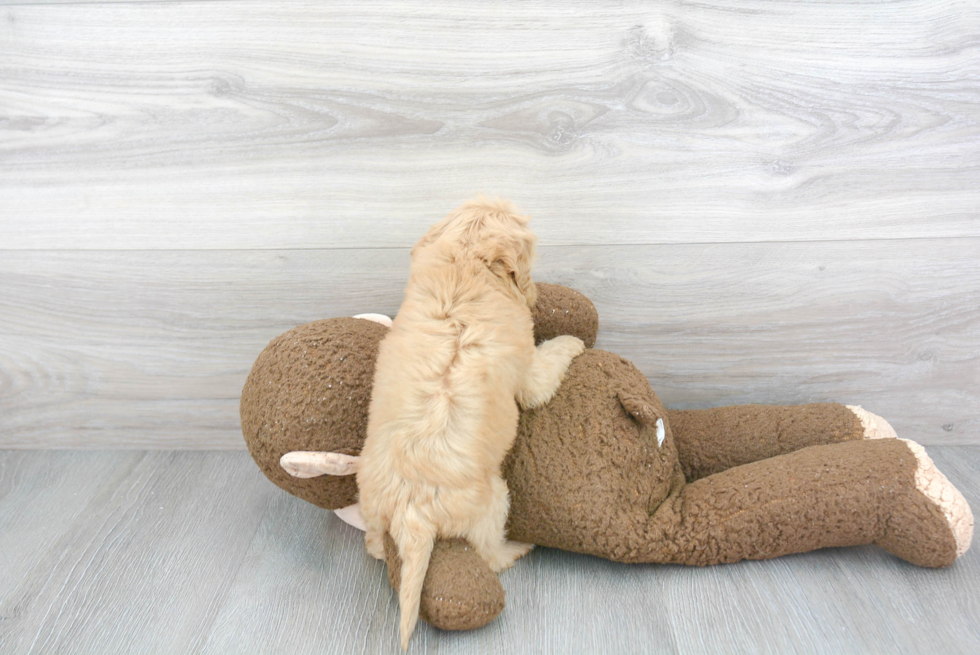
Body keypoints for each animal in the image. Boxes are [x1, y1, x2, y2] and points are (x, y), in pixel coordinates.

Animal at [362, 197, 584, 648]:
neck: (463, 266)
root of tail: (411, 516)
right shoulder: (529, 371)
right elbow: (547, 363)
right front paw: (572, 342)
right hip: (495, 499)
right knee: (489, 552)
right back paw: (518, 547)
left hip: (370, 500)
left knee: (374, 543)